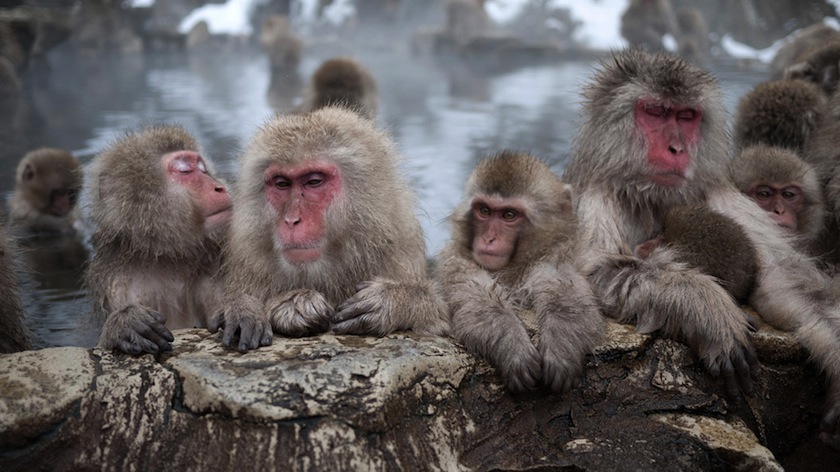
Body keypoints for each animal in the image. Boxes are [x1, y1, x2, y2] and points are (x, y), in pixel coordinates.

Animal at [84, 125, 233, 354]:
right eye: (185, 170)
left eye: (203, 169)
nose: (220, 187)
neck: (171, 255)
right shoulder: (118, 280)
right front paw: (123, 323)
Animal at [560, 48, 840, 446]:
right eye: (655, 112)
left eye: (686, 116)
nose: (676, 148)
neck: (653, 197)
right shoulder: (593, 200)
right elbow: (596, 274)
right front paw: (706, 308)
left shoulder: (720, 195)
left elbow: (786, 281)